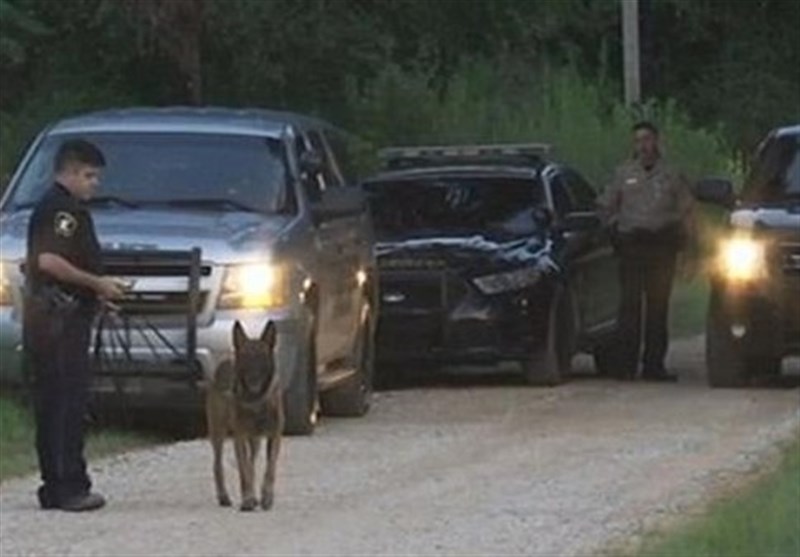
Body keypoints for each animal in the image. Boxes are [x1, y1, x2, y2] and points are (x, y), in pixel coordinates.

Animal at [206, 320, 284, 510]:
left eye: (261, 357)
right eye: (246, 357)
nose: (253, 377)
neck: (256, 400)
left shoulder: (274, 436)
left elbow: (269, 469)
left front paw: (266, 496)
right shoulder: (239, 437)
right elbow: (243, 470)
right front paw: (248, 498)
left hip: (255, 441)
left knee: (252, 462)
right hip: (217, 433)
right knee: (217, 464)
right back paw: (224, 496)